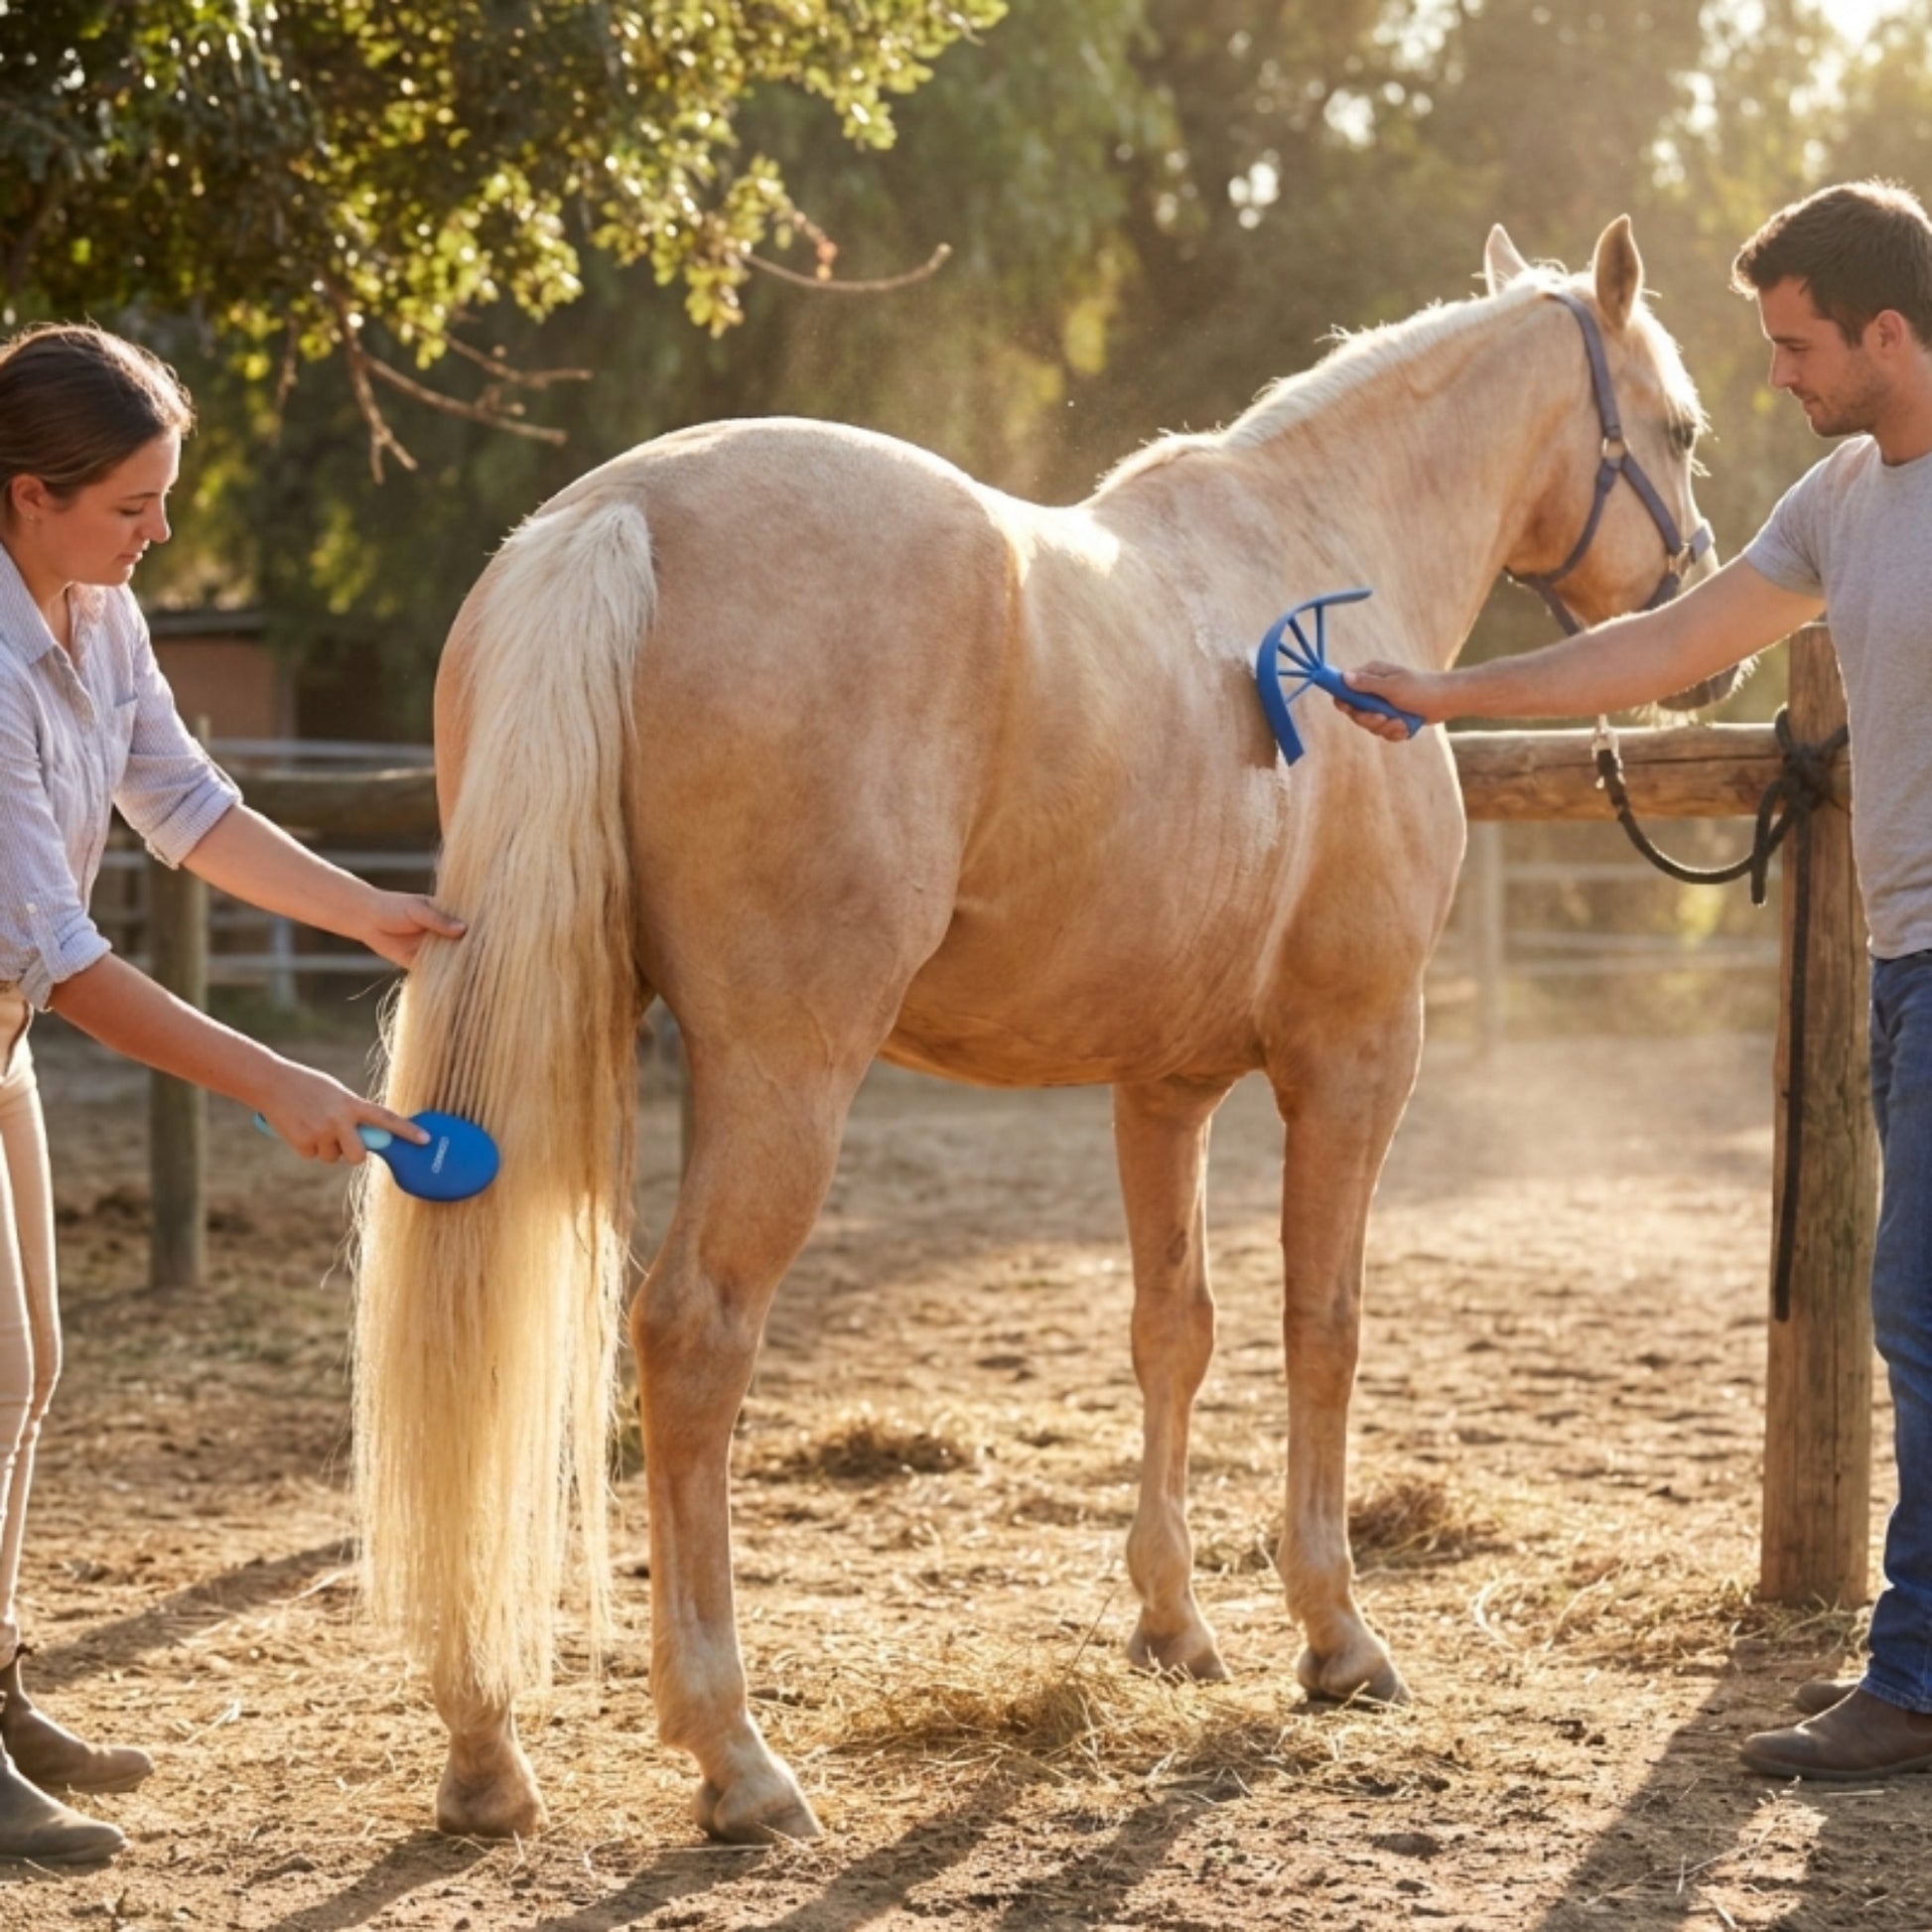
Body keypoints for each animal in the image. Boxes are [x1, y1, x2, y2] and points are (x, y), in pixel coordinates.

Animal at [352, 216, 1715, 1844]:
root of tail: (616, 514)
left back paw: (485, 1749)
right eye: (1680, 429)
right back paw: (735, 1755)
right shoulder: (1354, 1057)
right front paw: (1335, 1634)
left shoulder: (1163, 1086)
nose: (1706, 640)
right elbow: (1320, 1325)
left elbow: (1171, 1327)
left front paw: (1173, 1624)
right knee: (691, 1334)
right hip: (784, 1071)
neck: (1329, 571)